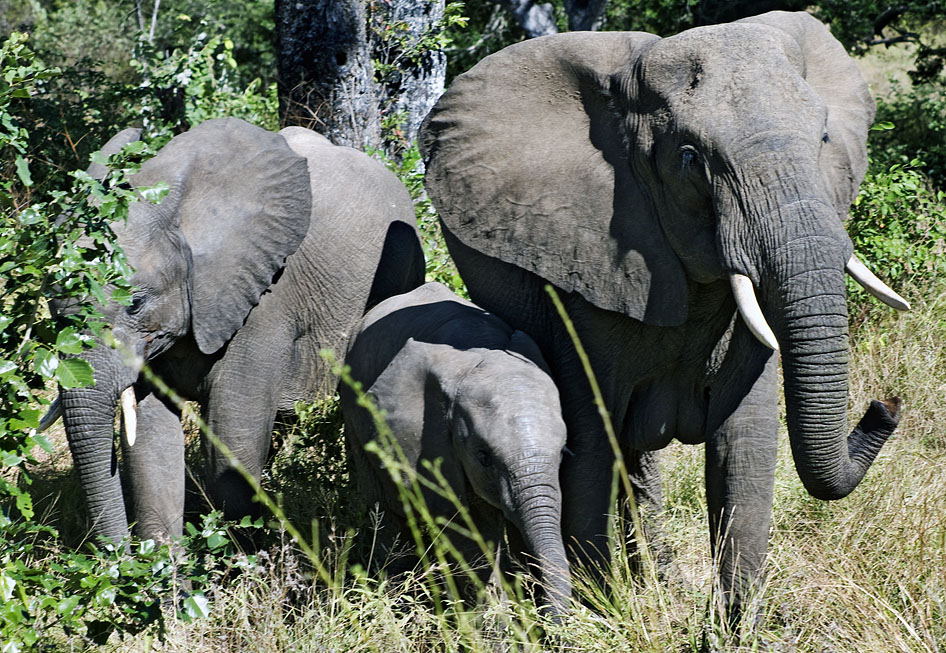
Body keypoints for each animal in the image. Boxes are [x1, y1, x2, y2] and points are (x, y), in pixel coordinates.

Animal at [48, 118, 424, 544]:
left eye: (135, 303)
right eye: (50, 305)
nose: (119, 555)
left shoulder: (264, 297)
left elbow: (232, 442)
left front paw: (244, 556)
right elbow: (149, 441)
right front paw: (165, 565)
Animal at [342, 282, 572, 616]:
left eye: (562, 452)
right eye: (483, 457)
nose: (546, 621)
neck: (481, 352)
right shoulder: (427, 441)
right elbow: (466, 528)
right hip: (353, 416)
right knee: (385, 509)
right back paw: (398, 606)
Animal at [420, 12, 908, 620]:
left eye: (823, 138)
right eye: (690, 159)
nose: (886, 406)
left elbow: (745, 443)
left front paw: (738, 626)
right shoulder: (590, 269)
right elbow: (591, 438)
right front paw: (605, 613)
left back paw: (663, 579)